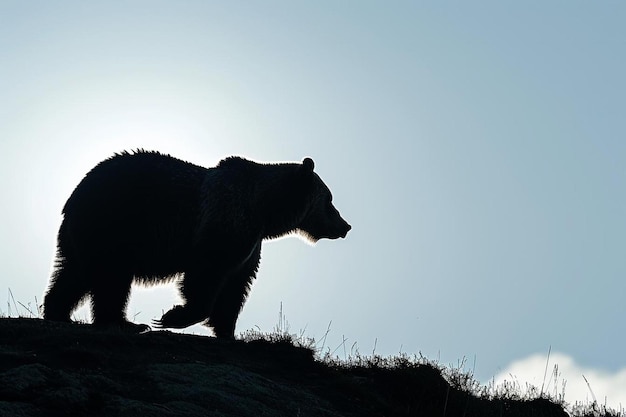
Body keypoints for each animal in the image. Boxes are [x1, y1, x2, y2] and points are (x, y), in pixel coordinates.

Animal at [42, 151, 352, 336]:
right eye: (330, 200)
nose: (346, 226)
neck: (264, 208)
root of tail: (75, 193)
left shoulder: (251, 240)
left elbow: (237, 285)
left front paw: (228, 331)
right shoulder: (226, 221)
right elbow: (207, 273)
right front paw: (172, 316)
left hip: (85, 233)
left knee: (74, 273)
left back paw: (59, 312)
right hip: (116, 222)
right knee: (110, 277)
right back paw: (125, 323)